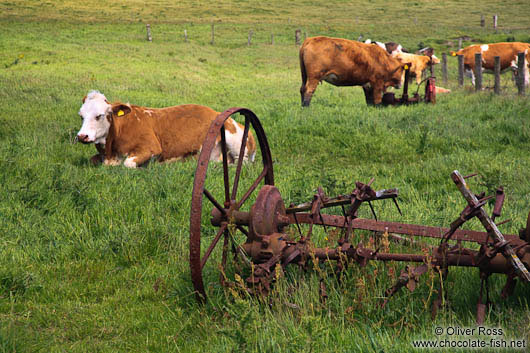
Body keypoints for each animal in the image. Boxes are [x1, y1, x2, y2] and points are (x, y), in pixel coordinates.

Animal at [75, 91, 255, 168]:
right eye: (81, 116)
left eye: (99, 116)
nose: (82, 136)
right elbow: (92, 160)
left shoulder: (151, 147)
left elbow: (128, 163)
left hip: (236, 142)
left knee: (242, 163)